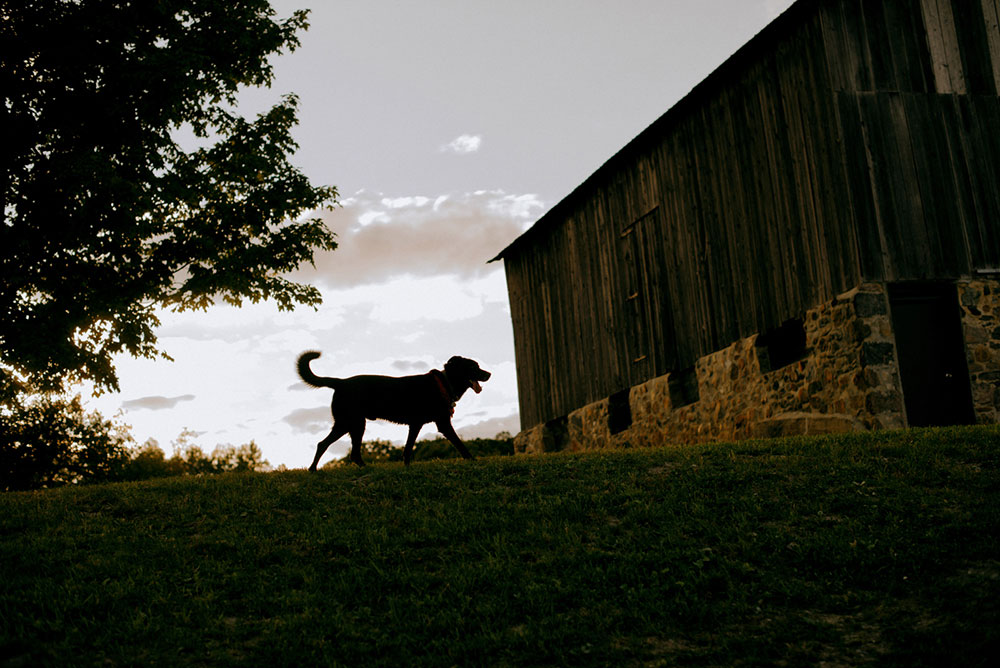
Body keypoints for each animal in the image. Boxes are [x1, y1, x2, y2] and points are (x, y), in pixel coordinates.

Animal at [296, 352, 492, 468]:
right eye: (473, 367)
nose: (489, 374)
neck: (445, 383)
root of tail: (340, 382)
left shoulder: (415, 424)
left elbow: (408, 448)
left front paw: (407, 467)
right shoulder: (443, 423)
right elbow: (459, 443)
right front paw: (472, 460)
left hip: (349, 424)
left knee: (336, 448)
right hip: (352, 423)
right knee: (333, 447)